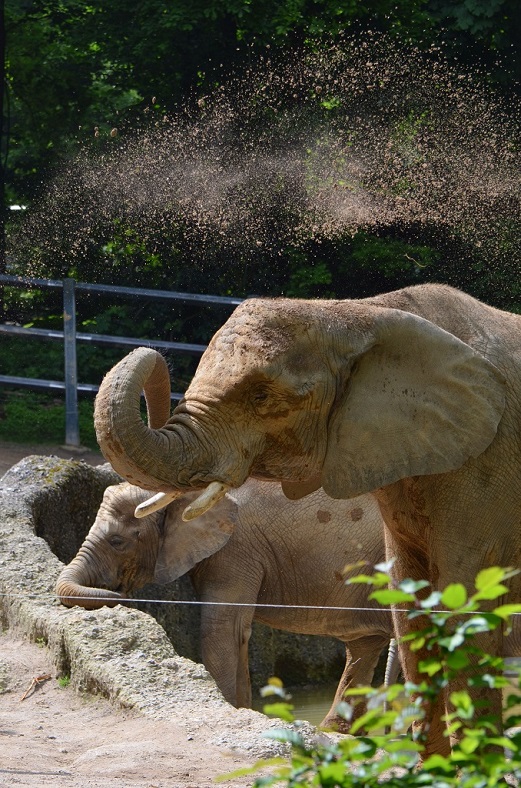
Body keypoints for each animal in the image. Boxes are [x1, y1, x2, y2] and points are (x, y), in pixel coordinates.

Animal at [56, 477, 396, 732]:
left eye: (118, 541)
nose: (122, 598)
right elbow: (237, 633)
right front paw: (245, 712)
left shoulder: (236, 548)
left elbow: (222, 629)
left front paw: (230, 709)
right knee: (364, 646)